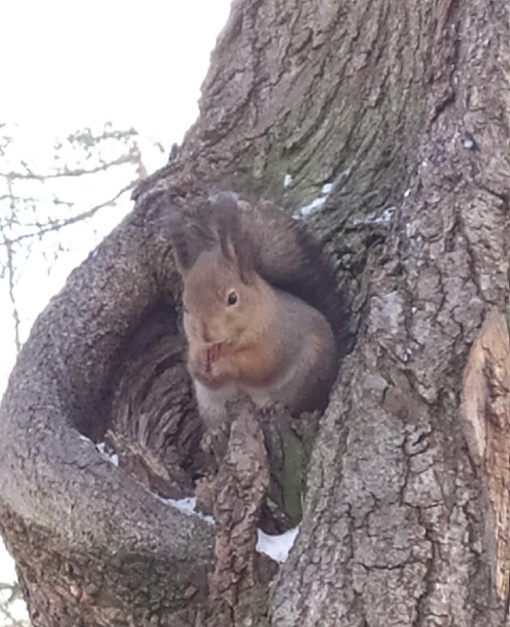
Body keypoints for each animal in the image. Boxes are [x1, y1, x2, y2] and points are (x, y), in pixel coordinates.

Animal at [169, 194, 340, 448]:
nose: (206, 335)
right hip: (211, 406)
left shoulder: (278, 338)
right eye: (186, 307)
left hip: (306, 381)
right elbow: (201, 373)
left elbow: (260, 365)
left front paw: (226, 365)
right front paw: (197, 363)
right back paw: (213, 435)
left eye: (232, 298)